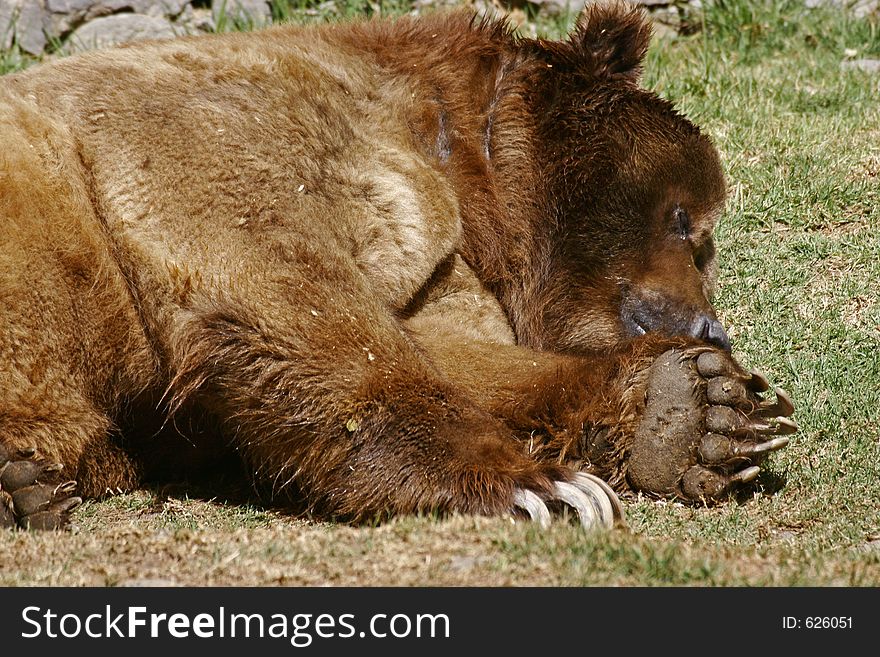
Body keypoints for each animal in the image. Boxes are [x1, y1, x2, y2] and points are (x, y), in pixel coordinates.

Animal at [0, 2, 796, 532]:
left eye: (703, 236)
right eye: (685, 221)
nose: (712, 327)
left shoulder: (439, 260)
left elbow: (457, 350)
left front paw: (701, 409)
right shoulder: (228, 128)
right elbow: (286, 292)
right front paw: (542, 484)